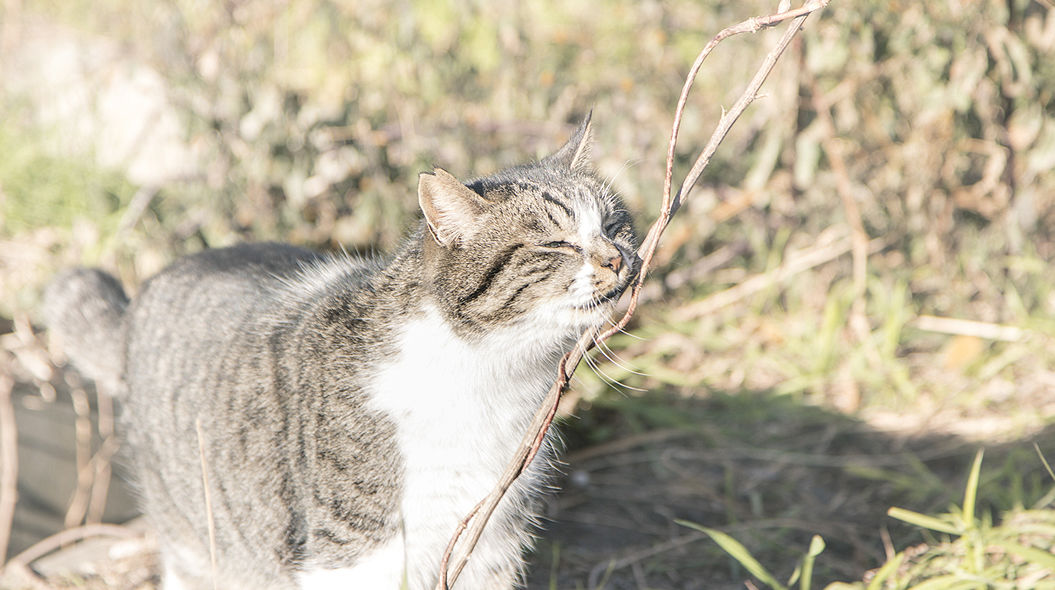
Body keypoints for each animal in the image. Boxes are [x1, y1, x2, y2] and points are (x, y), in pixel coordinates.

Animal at [43, 112, 632, 586]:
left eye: (614, 224)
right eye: (556, 243)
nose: (618, 259)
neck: (491, 374)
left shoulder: (489, 541)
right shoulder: (357, 553)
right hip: (200, 542)